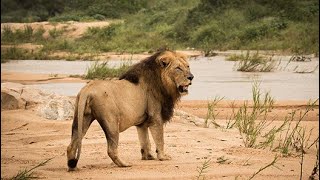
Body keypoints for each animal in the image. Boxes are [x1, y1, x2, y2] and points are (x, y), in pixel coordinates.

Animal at [66, 49, 194, 170]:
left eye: (187, 66)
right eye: (178, 68)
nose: (191, 77)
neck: (164, 83)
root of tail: (87, 89)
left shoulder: (142, 123)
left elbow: (145, 141)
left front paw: (148, 157)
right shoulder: (155, 117)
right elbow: (159, 138)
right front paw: (163, 157)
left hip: (82, 118)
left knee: (71, 145)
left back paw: (73, 167)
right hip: (111, 122)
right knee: (111, 149)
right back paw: (124, 164)